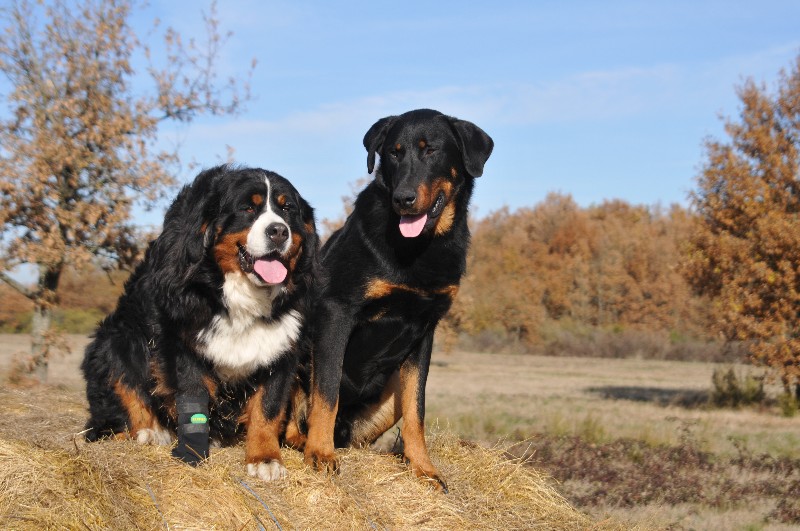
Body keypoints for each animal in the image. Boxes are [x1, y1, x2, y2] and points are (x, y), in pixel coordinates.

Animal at [81, 166, 318, 482]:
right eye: (247, 208)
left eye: (287, 209)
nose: (279, 231)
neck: (241, 295)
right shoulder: (182, 341)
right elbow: (193, 400)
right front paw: (193, 452)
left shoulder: (283, 346)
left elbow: (268, 407)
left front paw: (265, 458)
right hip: (115, 340)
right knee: (118, 401)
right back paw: (149, 432)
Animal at [284, 108, 490, 490]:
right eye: (394, 154)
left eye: (430, 150)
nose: (403, 198)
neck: (419, 247)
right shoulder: (337, 312)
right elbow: (326, 392)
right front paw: (320, 454)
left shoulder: (425, 329)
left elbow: (416, 410)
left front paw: (423, 468)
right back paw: (305, 442)